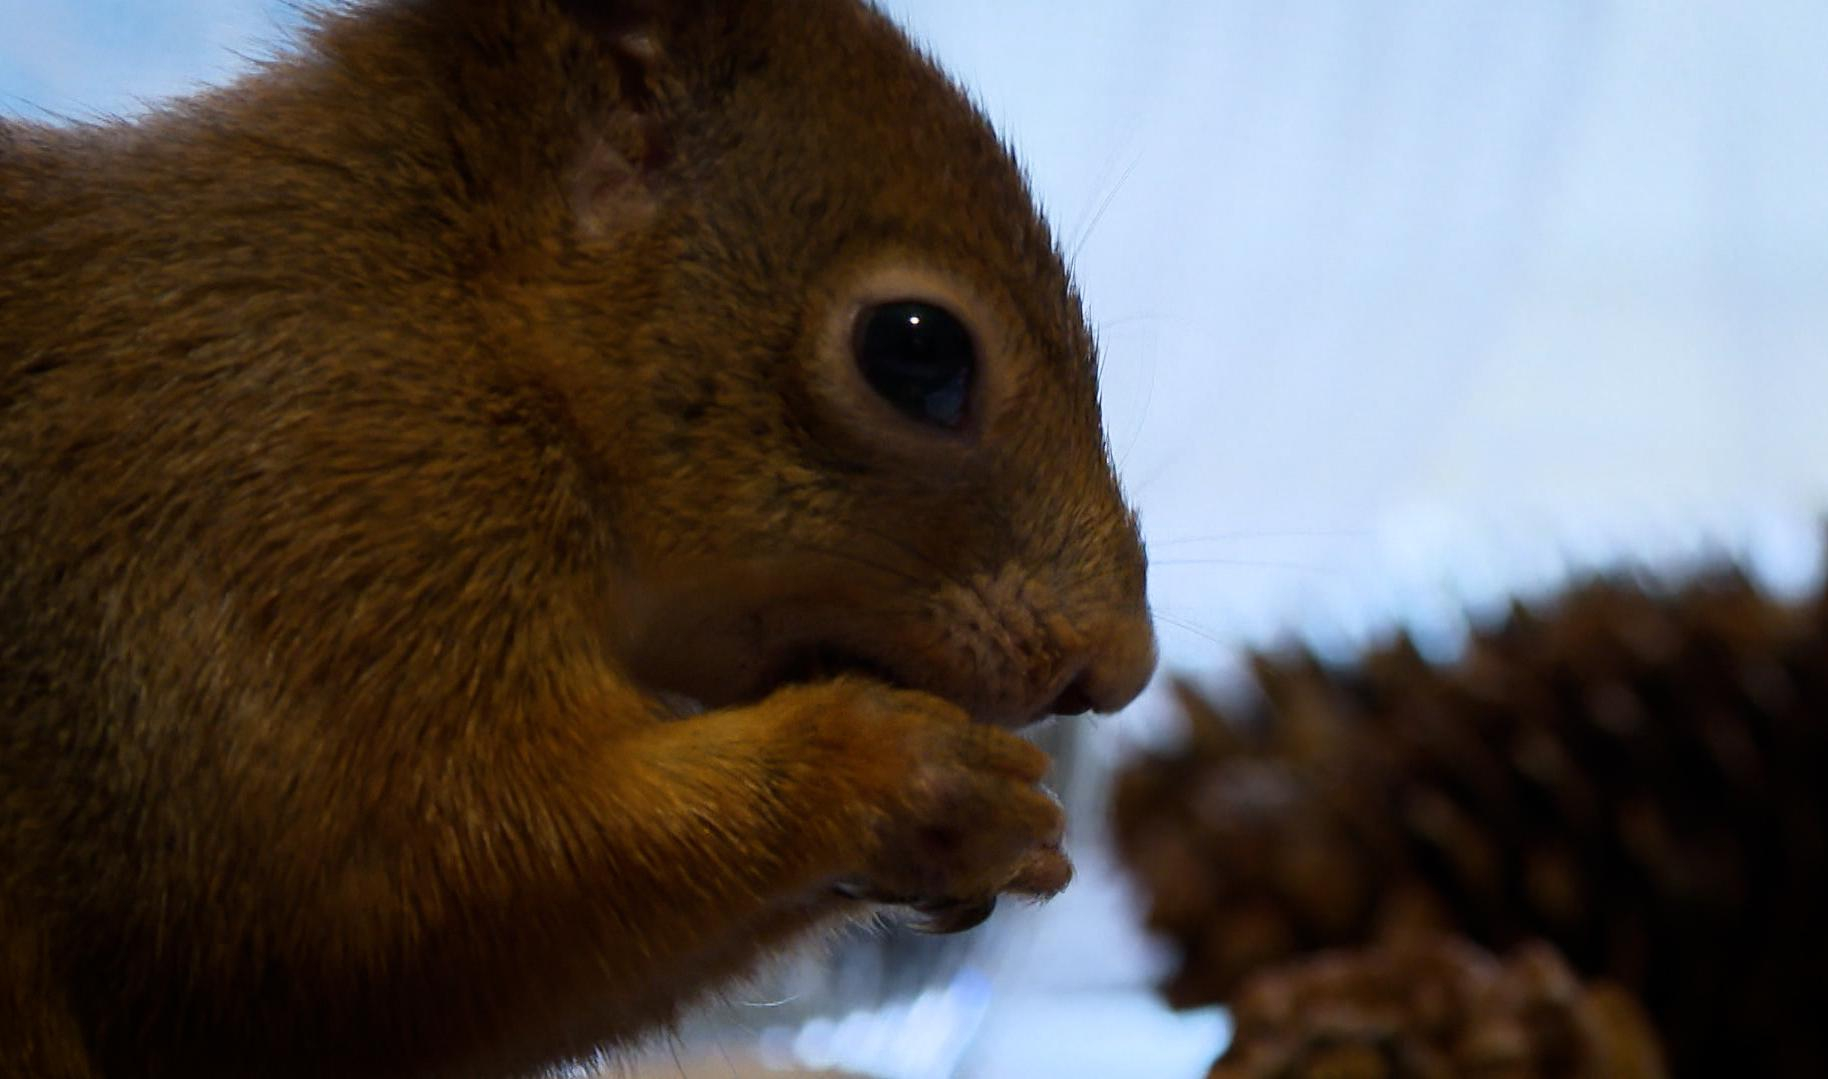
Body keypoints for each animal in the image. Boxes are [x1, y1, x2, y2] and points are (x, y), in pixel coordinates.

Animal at [0, 2, 1155, 1079]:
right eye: (916, 350)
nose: (1120, 668)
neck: (456, 310)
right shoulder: (278, 521)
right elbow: (366, 907)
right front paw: (900, 766)